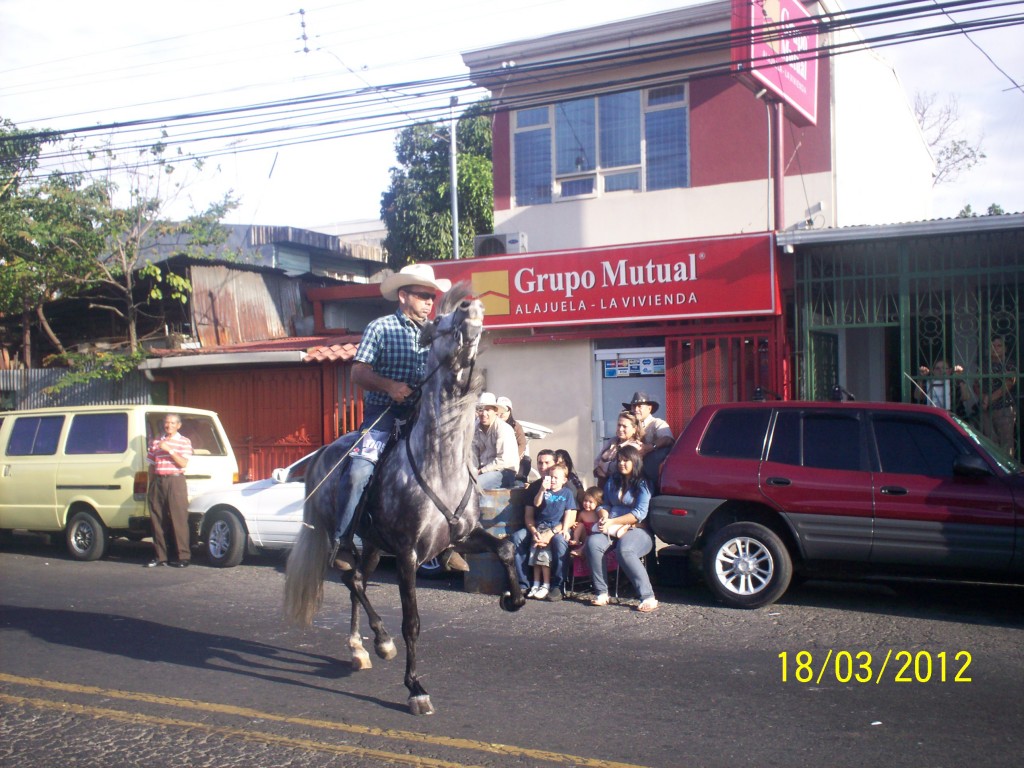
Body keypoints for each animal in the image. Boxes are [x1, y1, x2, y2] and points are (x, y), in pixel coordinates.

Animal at [282, 286, 528, 720]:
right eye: (440, 322)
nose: (471, 308)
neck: (440, 464)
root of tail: (324, 453)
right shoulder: (409, 555)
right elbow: (411, 622)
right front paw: (416, 689)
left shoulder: (461, 537)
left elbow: (504, 547)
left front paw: (512, 598)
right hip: (345, 536)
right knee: (350, 575)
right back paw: (377, 642)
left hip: (374, 545)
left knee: (357, 580)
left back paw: (362, 648)